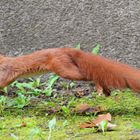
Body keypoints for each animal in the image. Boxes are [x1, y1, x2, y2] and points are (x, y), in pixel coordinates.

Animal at [0, 47, 140, 96]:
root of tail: (65, 49)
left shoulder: (6, 72)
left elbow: (2, 82)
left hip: (64, 70)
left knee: (90, 76)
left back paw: (102, 89)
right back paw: (106, 91)